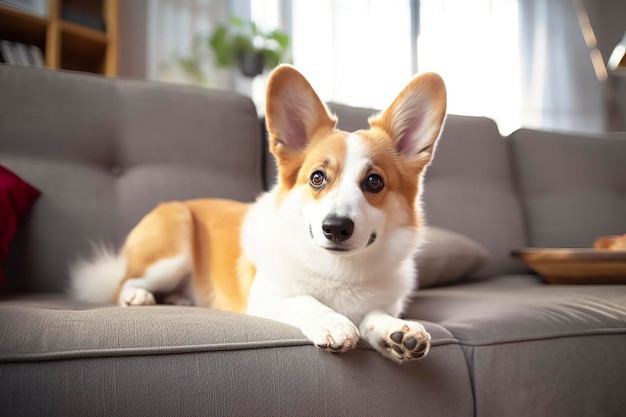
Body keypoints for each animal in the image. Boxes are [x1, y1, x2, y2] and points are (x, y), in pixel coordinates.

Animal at [70, 64, 446, 360]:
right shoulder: (264, 298)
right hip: (172, 242)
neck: (340, 272)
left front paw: (398, 332)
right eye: (317, 177)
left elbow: (375, 314)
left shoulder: (379, 302)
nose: (336, 227)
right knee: (124, 281)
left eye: (374, 182)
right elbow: (304, 299)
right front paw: (333, 321)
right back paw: (138, 295)